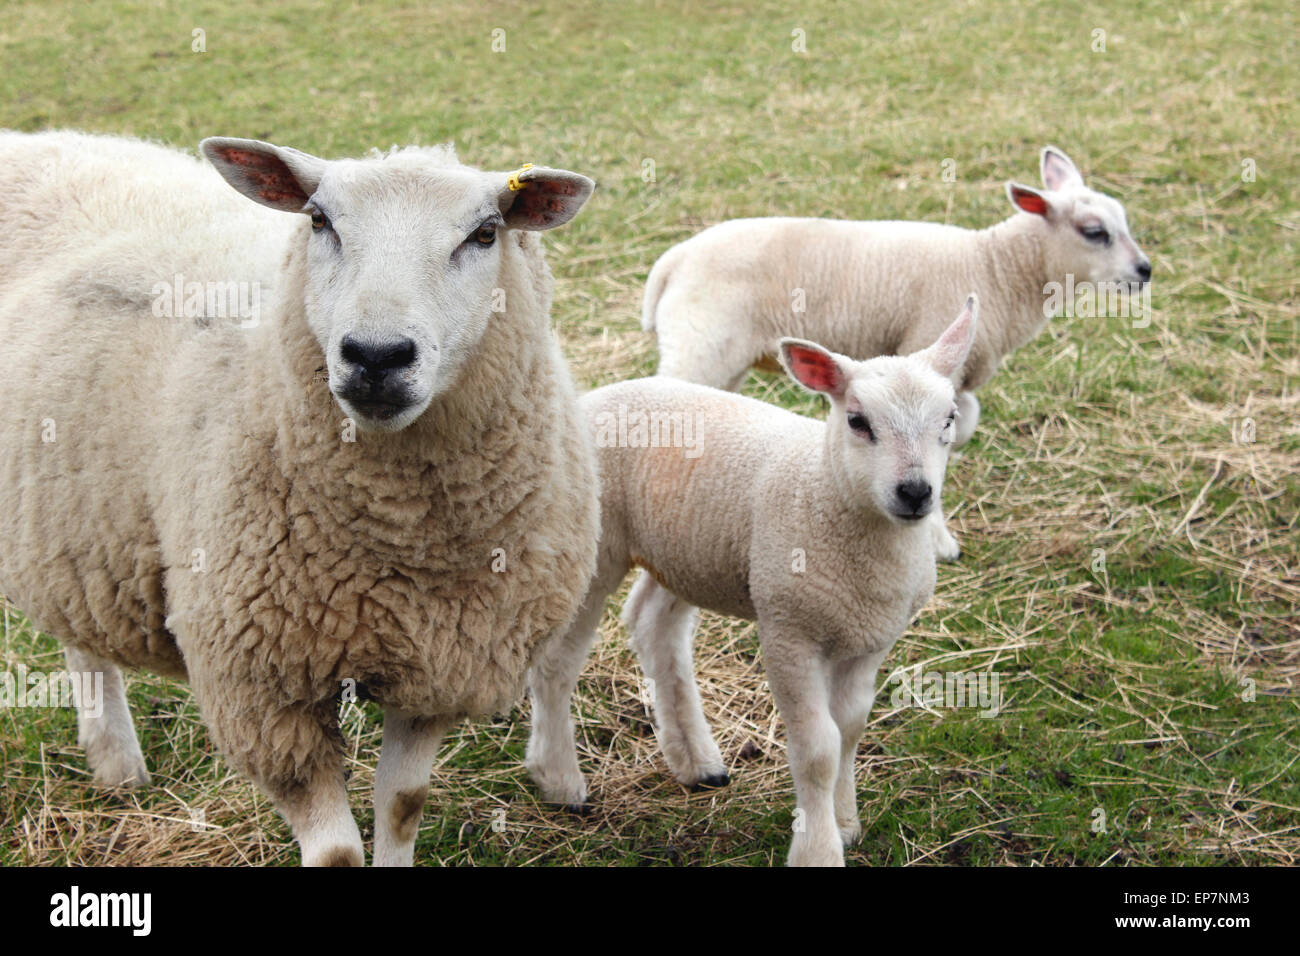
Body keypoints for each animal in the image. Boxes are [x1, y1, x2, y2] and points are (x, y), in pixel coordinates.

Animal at [0, 128, 598, 868]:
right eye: (319, 221)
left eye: (485, 233)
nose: (376, 355)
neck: (403, 542)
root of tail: (37, 138)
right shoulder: (263, 692)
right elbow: (336, 851)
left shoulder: (440, 664)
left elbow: (402, 805)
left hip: (77, 518)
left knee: (80, 634)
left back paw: (117, 768)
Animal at [522, 295, 977, 863]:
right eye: (857, 421)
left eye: (949, 420)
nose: (915, 492)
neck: (825, 488)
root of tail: (594, 399)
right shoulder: (789, 631)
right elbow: (818, 748)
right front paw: (819, 849)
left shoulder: (870, 639)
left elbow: (849, 730)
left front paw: (845, 821)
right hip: (594, 549)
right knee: (555, 665)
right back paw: (560, 781)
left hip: (689, 552)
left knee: (654, 627)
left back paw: (696, 761)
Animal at [642, 143, 1149, 561]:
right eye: (1094, 232)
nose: (1145, 271)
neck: (999, 268)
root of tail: (673, 260)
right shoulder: (927, 345)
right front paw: (940, 539)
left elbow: (964, 424)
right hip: (699, 345)